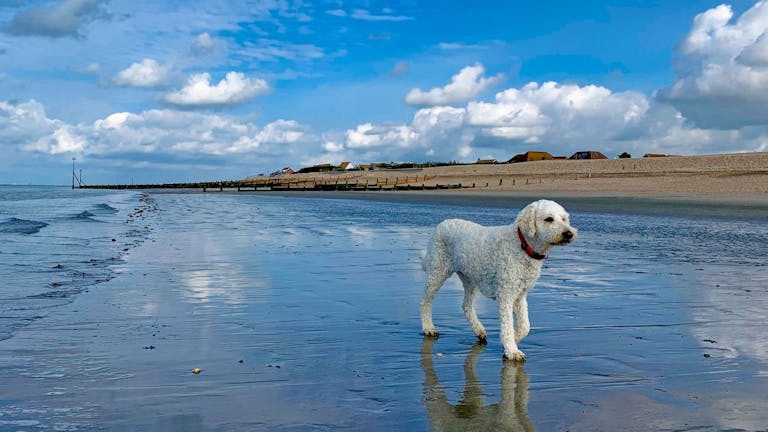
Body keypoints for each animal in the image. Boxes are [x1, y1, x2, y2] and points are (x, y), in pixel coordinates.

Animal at [420, 199, 576, 362]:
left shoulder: (520, 295)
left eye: (564, 219)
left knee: (466, 305)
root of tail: (442, 223)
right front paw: (512, 350)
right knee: (425, 302)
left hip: (470, 279)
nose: (569, 234)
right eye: (549, 219)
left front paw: (512, 341)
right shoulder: (505, 295)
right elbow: (507, 326)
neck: (522, 245)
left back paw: (479, 330)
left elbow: (525, 326)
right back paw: (429, 328)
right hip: (438, 272)